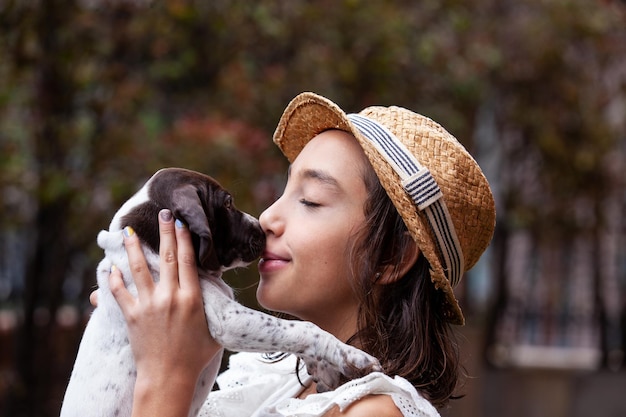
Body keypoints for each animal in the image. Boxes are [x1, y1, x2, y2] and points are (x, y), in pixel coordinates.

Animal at [59, 167, 380, 416]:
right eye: (227, 203)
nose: (262, 229)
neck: (151, 247)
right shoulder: (228, 320)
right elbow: (303, 328)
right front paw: (352, 356)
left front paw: (324, 368)